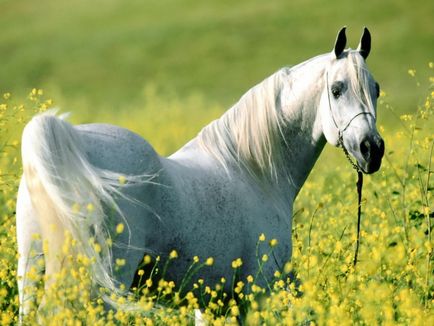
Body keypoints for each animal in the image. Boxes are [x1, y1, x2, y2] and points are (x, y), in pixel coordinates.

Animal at [17, 28, 384, 318]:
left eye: (376, 89)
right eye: (337, 89)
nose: (372, 149)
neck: (253, 172)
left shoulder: (209, 305)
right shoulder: (256, 295)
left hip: (32, 274)